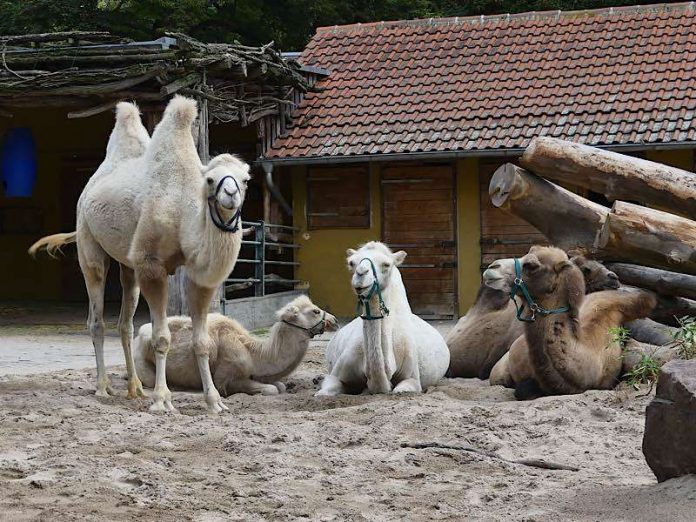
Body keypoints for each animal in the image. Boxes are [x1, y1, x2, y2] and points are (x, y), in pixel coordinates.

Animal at [31, 94, 253, 410]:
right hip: (88, 242)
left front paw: (214, 402)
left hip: (128, 264)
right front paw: (162, 399)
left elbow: (202, 342)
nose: (230, 194)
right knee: (96, 316)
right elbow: (161, 337)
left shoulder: (198, 275)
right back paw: (103, 388)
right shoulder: (152, 265)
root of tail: (90, 189)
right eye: (210, 180)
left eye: (245, 179)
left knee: (125, 322)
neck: (182, 209)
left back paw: (135, 388)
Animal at [134, 294, 340, 392]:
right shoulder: (227, 379)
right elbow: (272, 389)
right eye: (315, 311)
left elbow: (279, 386)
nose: (335, 320)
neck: (254, 354)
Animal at [316, 241, 448, 394]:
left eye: (386, 264)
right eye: (351, 263)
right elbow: (323, 392)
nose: (361, 273)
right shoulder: (338, 373)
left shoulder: (412, 377)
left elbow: (401, 389)